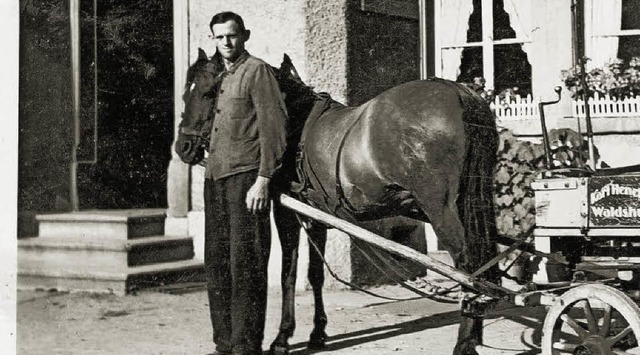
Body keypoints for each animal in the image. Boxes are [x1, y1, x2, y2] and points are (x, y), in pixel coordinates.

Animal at [175, 48, 500, 354]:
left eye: (208, 92)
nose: (183, 146)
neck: (294, 122)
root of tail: (460, 93)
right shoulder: (316, 215)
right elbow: (315, 274)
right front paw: (318, 332)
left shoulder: (287, 213)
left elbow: (288, 273)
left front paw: (282, 337)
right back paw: (476, 332)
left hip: (443, 211)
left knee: (469, 270)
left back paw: (465, 341)